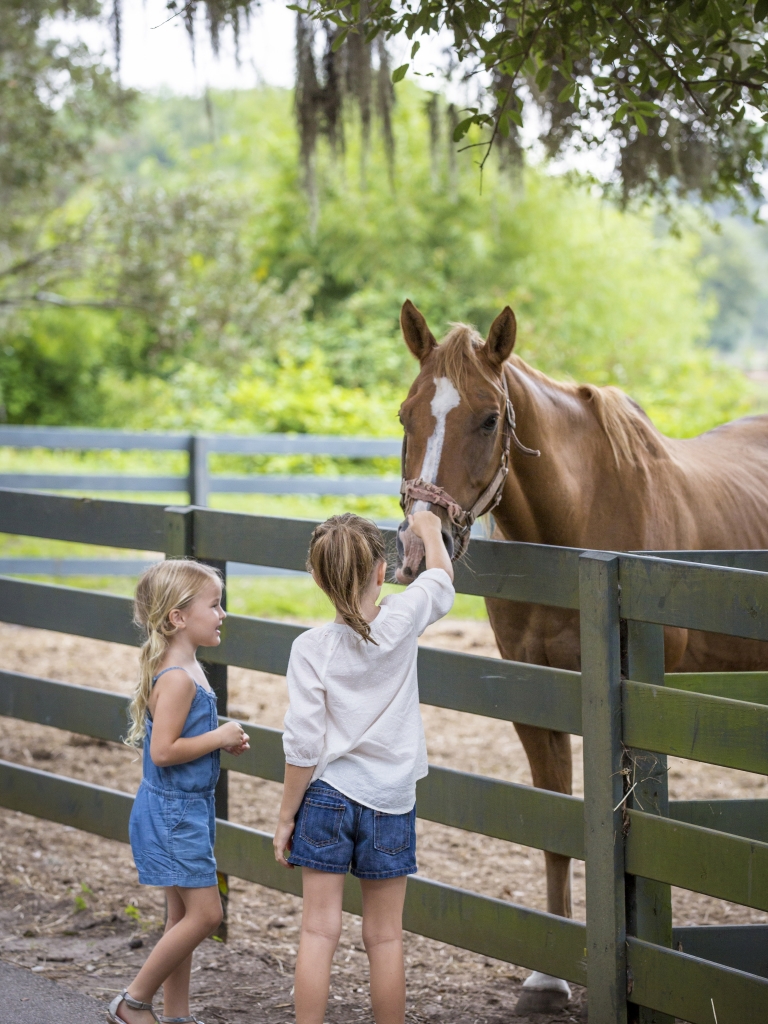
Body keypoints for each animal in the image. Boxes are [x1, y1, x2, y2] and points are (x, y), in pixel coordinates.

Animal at [393, 299, 768, 1015]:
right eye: (406, 413)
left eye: (489, 417)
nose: (423, 544)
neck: (577, 521)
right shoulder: (537, 699)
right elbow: (554, 821)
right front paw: (547, 980)